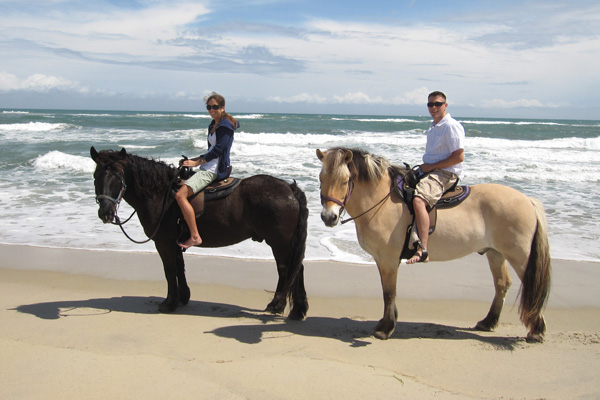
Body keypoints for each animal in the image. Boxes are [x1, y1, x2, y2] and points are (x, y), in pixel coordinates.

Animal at [91, 146, 312, 318]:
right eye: (95, 176)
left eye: (118, 177)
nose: (105, 213)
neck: (162, 194)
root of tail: (289, 188)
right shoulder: (175, 243)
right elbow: (180, 268)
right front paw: (182, 297)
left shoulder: (163, 242)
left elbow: (170, 270)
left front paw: (169, 303)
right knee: (296, 270)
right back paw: (296, 310)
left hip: (280, 244)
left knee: (286, 270)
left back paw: (278, 305)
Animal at [316, 148, 552, 342]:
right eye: (321, 178)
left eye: (345, 180)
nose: (329, 217)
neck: (381, 200)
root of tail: (527, 200)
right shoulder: (383, 260)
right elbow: (387, 291)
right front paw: (388, 321)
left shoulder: (388, 259)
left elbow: (389, 292)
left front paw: (385, 328)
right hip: (495, 253)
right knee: (502, 284)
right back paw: (488, 322)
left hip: (520, 256)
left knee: (532, 286)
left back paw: (536, 331)